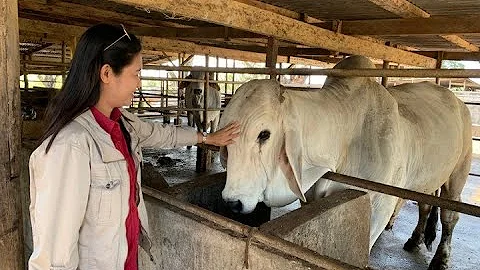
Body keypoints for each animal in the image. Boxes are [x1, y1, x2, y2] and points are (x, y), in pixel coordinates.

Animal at [219, 55, 470, 270]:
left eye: (264, 134)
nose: (233, 202)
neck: (342, 139)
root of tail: (457, 101)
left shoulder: (381, 205)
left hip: (458, 173)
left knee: (450, 216)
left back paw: (441, 259)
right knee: (425, 205)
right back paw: (414, 239)